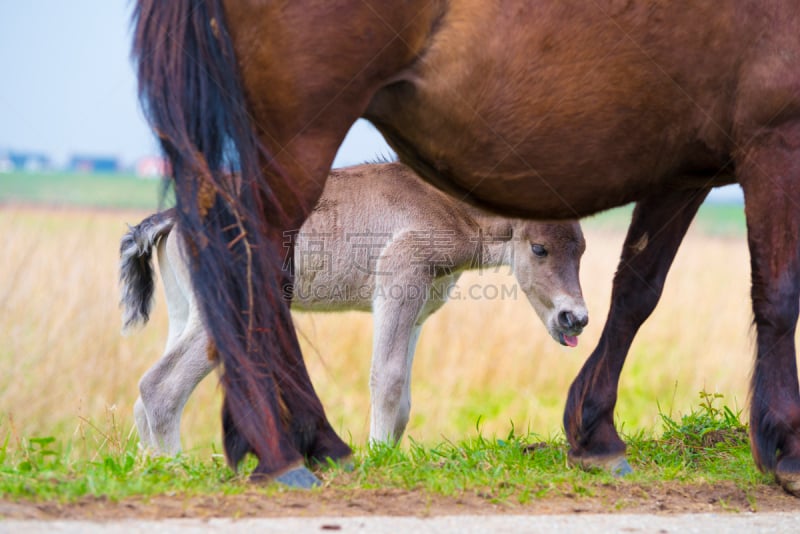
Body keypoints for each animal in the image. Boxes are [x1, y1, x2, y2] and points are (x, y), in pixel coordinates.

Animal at [122, 161, 592, 458]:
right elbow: (388, 378)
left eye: (582, 249)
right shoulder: (399, 282)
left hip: (186, 312)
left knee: (146, 394)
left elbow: (403, 395)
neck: (445, 208)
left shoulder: (417, 309)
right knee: (158, 386)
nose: (576, 318)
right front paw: (378, 456)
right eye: (539, 248)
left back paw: (150, 465)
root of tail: (172, 217)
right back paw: (175, 466)